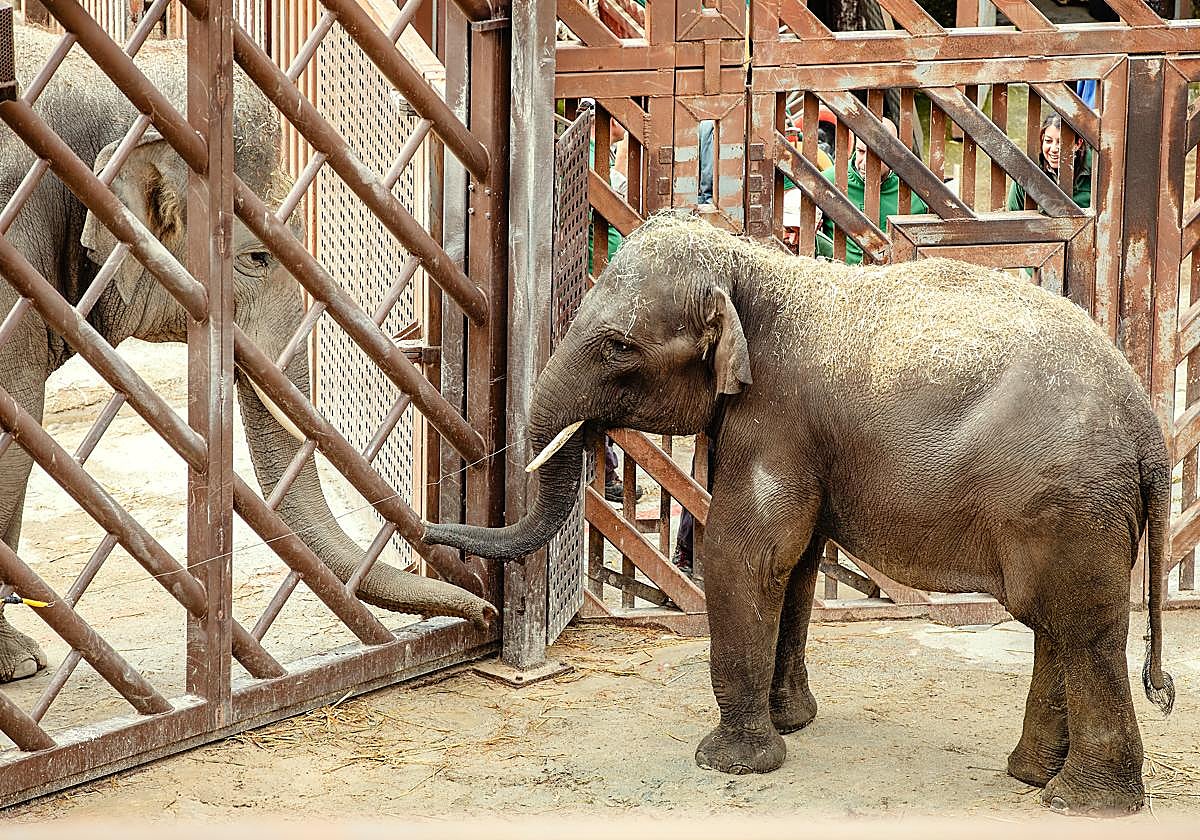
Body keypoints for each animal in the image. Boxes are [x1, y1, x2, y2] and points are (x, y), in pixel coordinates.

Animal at [424, 212, 1176, 815]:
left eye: (617, 347)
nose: (426, 532)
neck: (750, 267)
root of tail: (1148, 429)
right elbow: (799, 567)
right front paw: (791, 725)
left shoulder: (776, 416)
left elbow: (747, 553)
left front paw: (732, 763)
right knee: (1055, 625)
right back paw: (1031, 776)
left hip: (1066, 501)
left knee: (1079, 628)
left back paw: (1081, 803)